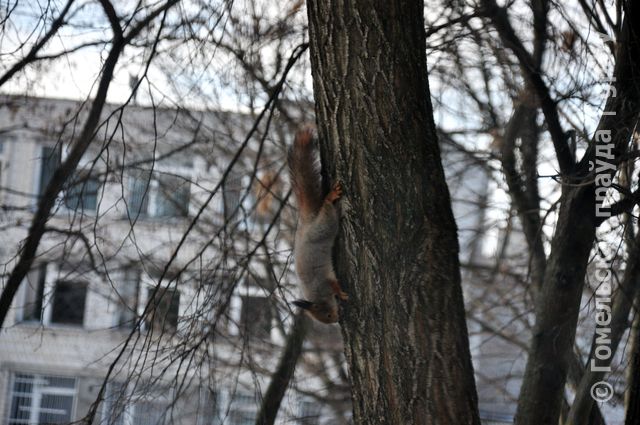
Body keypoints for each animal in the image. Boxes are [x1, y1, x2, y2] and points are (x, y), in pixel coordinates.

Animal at [289, 127, 348, 324]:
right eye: (328, 317)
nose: (336, 319)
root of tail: (309, 222)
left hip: (325, 226)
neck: (317, 295)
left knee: (327, 208)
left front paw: (341, 293)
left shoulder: (324, 283)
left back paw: (330, 197)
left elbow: (334, 284)